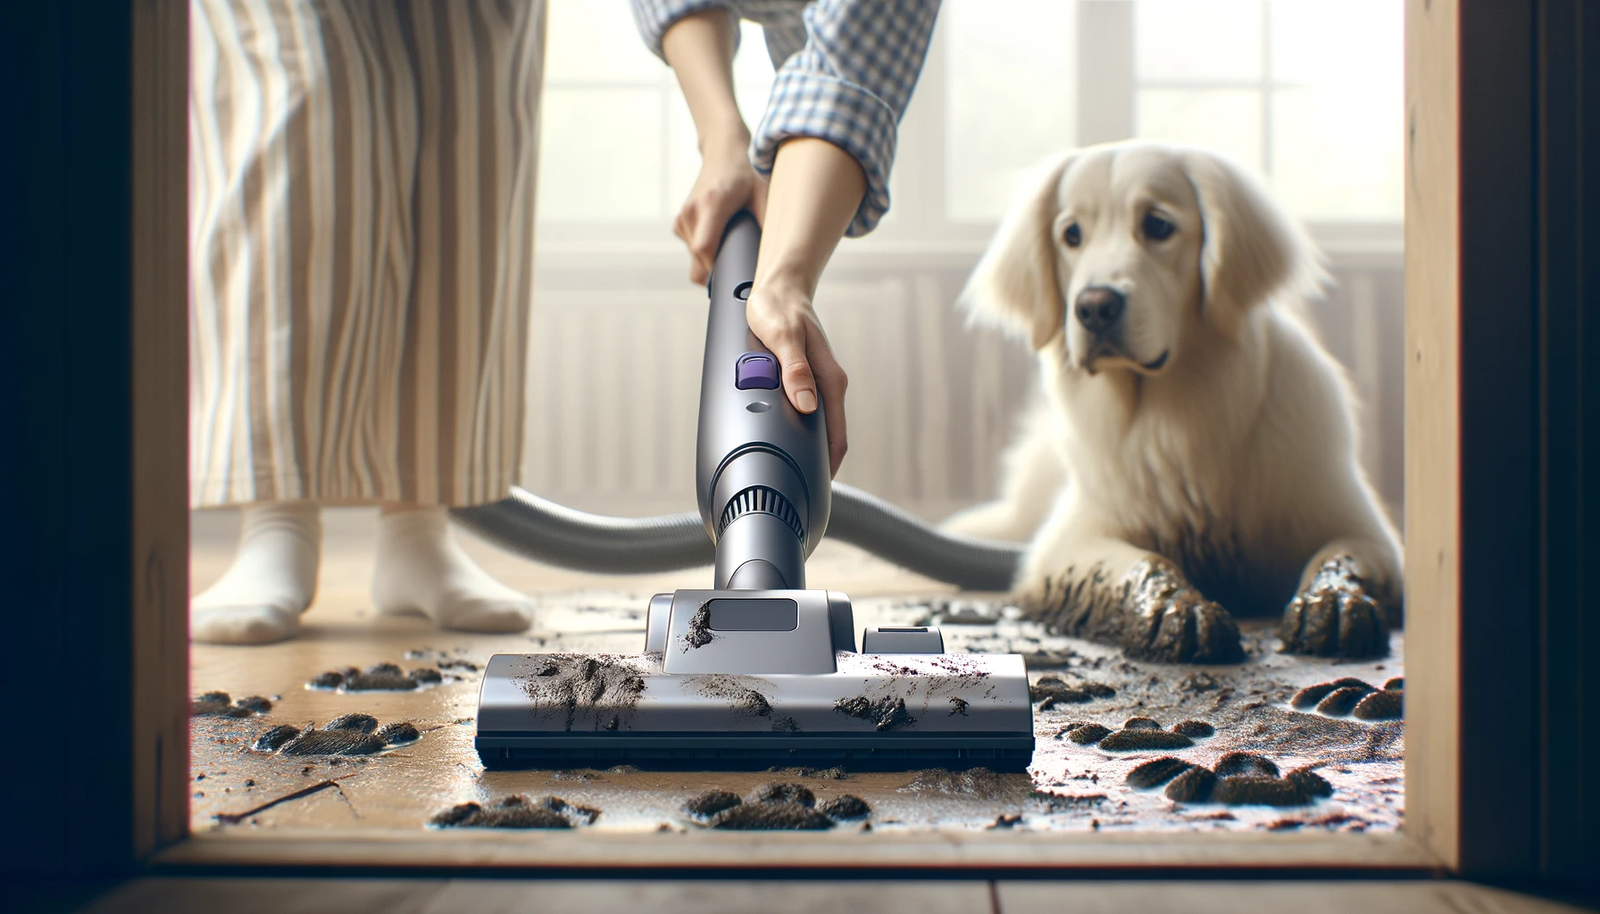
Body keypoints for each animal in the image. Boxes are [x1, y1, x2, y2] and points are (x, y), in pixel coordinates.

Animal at [947, 139, 1401, 662]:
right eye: (1071, 234)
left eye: (1158, 226)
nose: (1094, 307)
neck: (1174, 420)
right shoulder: (1072, 538)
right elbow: (1141, 560)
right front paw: (1174, 607)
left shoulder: (1363, 528)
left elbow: (1340, 555)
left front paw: (1334, 601)